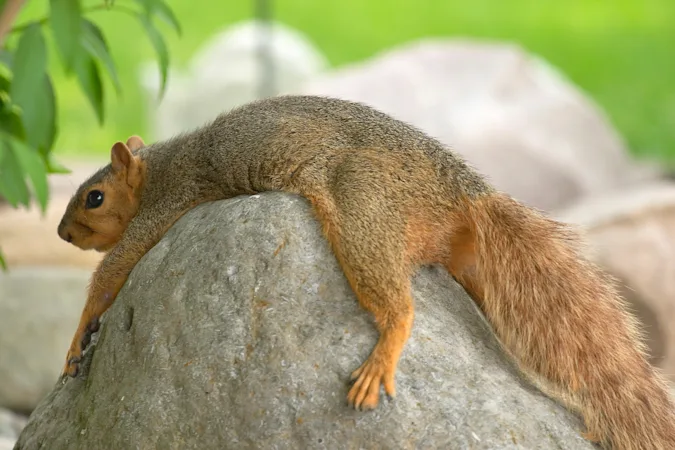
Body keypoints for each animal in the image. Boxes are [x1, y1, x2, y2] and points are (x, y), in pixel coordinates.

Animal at [57, 95, 675, 450]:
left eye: (93, 197)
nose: (62, 235)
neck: (156, 169)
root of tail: (461, 190)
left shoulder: (164, 206)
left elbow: (113, 269)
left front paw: (77, 333)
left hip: (363, 209)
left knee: (398, 302)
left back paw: (382, 356)